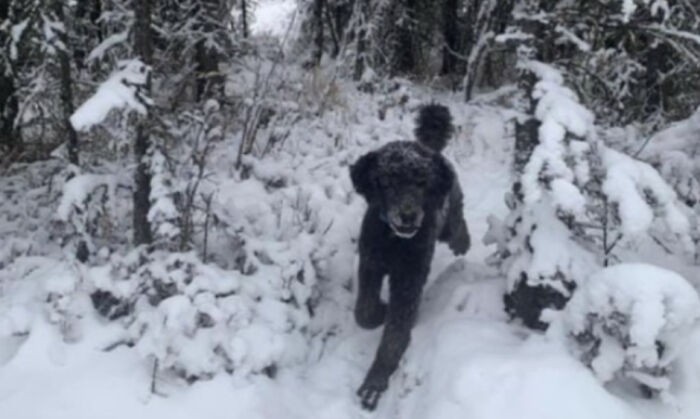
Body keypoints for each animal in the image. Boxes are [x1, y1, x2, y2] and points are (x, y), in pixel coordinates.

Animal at [350, 104, 470, 410]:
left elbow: (395, 335)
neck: (394, 241)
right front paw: (380, 311)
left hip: (449, 212)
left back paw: (463, 242)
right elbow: (363, 312)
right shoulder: (370, 264)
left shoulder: (408, 280)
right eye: (387, 181)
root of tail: (429, 148)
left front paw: (375, 383)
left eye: (421, 182)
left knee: (456, 225)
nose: (408, 215)